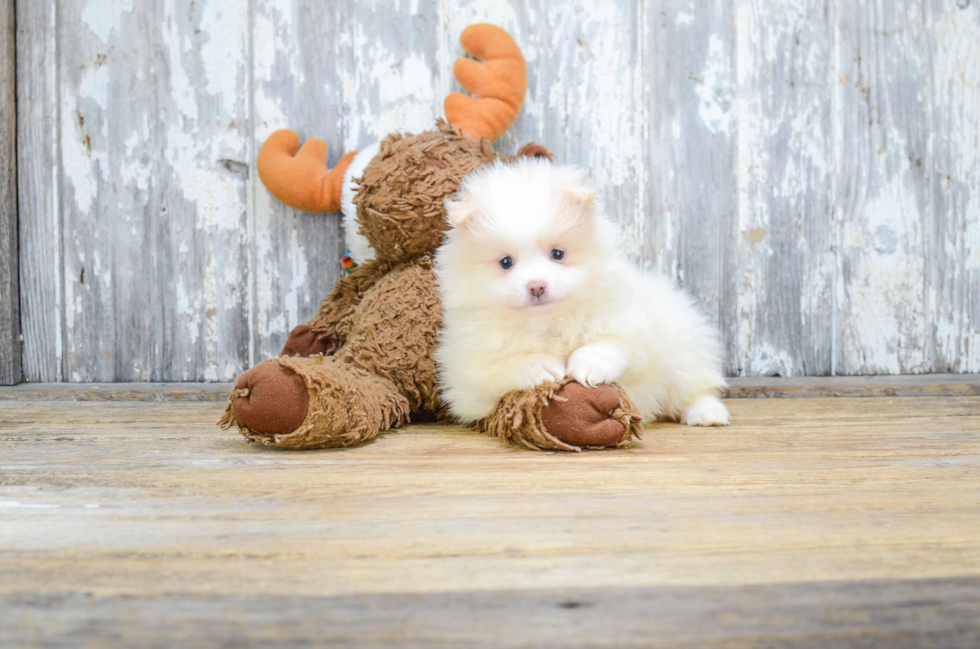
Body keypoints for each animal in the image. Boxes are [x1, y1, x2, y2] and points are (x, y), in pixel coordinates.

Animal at [434, 159, 728, 428]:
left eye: (557, 254)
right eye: (506, 262)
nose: (537, 286)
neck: (548, 320)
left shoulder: (635, 329)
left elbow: (611, 344)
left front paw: (590, 364)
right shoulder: (471, 374)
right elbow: (505, 367)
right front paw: (540, 366)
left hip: (684, 350)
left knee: (694, 389)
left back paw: (707, 413)